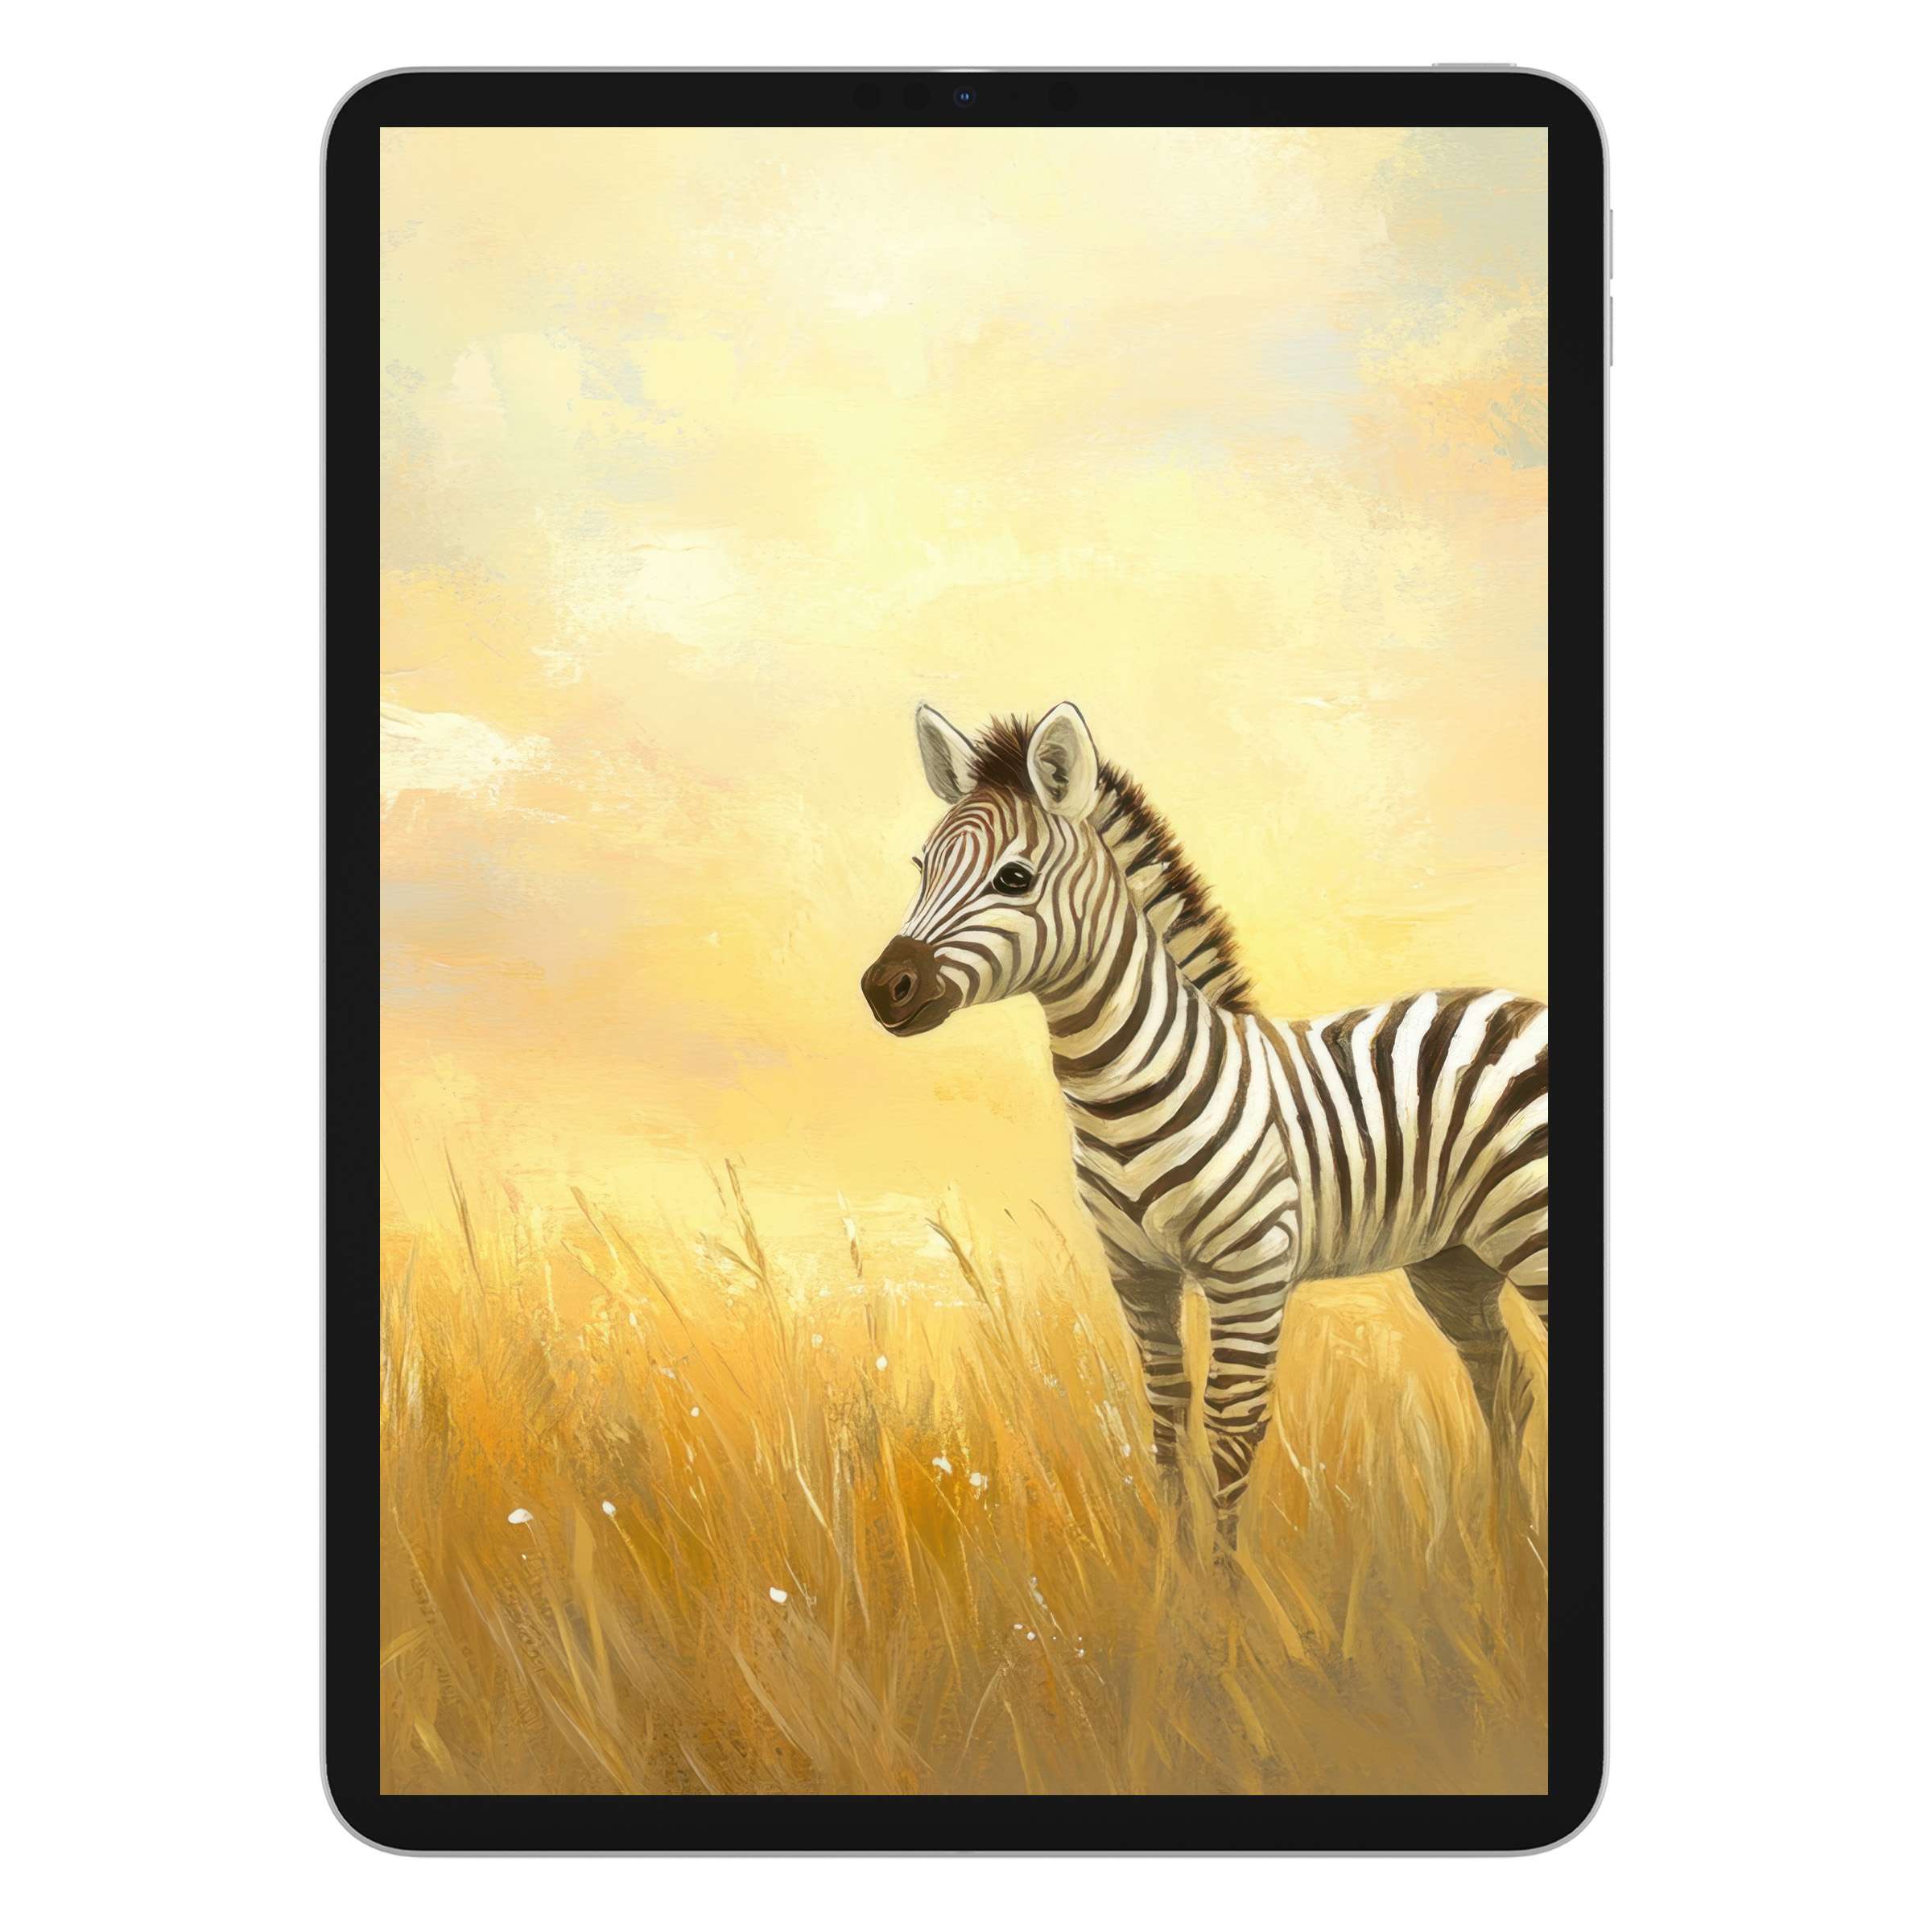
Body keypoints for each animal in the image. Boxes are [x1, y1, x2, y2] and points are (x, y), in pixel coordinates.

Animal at [861, 702, 1549, 1554]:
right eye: (921, 867)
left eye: (1013, 879)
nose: (882, 988)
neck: (1123, 1096)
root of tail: (1513, 1001)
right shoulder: (1137, 1273)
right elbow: (1165, 1416)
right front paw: (1173, 1573)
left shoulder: (1249, 1272)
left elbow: (1230, 1430)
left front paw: (1225, 1586)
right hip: (1453, 1260)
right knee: (1505, 1383)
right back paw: (1505, 1547)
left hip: (1532, 1233)